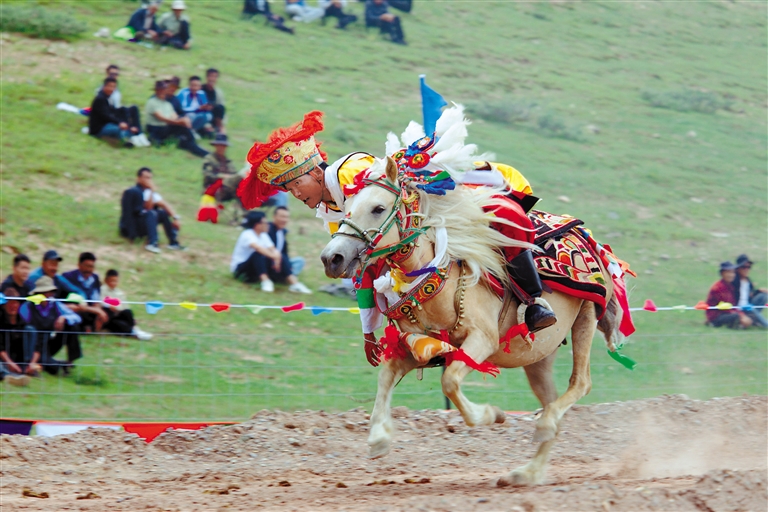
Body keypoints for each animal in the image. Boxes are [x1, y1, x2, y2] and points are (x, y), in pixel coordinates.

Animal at [320, 156, 626, 486]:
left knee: (580, 383)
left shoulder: (482, 340)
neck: (440, 278)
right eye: (346, 208)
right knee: (551, 400)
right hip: (539, 355)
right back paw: (526, 472)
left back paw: (542, 427)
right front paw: (378, 439)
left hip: (586, 316)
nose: (332, 258)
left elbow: (450, 382)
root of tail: (586, 237)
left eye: (377, 208)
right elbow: (386, 376)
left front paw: (492, 414)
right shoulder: (421, 349)